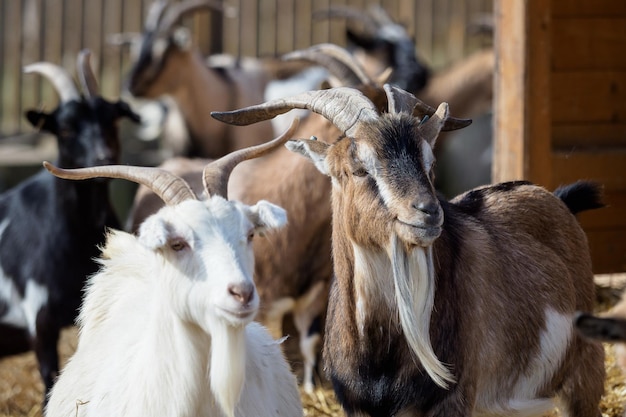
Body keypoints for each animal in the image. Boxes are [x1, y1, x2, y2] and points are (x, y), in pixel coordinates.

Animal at [210, 83, 604, 414]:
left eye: (430, 164)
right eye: (358, 168)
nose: (428, 211)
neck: (379, 350)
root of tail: (556, 199)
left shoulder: (450, 402)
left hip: (583, 377)